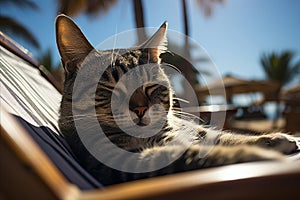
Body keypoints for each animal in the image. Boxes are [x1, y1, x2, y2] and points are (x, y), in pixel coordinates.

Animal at [55, 14, 298, 186]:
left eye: (150, 84)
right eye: (109, 87)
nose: (140, 109)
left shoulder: (196, 131)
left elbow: (229, 137)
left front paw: (275, 138)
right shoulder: (126, 161)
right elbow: (195, 155)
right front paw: (258, 155)